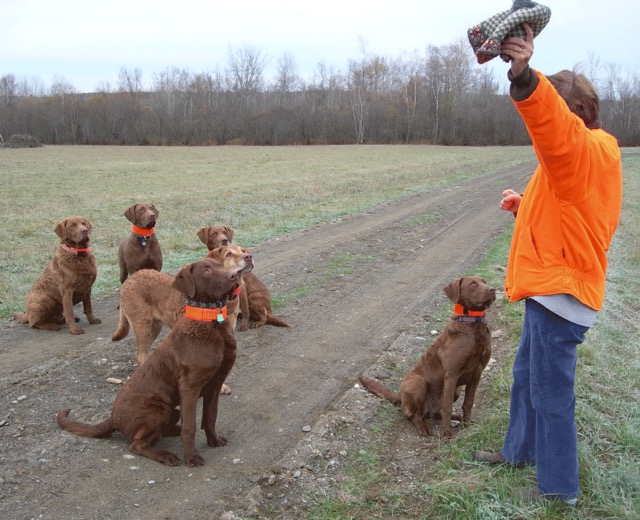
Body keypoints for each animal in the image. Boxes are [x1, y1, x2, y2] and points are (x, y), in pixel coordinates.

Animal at [58, 258, 240, 466]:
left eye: (220, 265)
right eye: (206, 271)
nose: (234, 276)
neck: (212, 323)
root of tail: (113, 418)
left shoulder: (215, 383)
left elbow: (210, 417)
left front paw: (214, 441)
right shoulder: (190, 387)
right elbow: (190, 426)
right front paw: (191, 458)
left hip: (171, 410)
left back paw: (172, 431)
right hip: (159, 410)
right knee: (136, 444)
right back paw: (165, 455)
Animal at [360, 276, 496, 438]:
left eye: (485, 282)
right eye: (473, 284)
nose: (493, 289)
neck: (472, 324)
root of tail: (400, 395)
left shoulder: (477, 373)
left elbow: (468, 403)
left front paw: (468, 424)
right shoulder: (451, 374)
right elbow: (447, 407)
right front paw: (445, 432)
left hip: (456, 390)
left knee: (435, 414)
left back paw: (456, 417)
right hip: (418, 383)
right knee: (413, 415)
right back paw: (423, 427)